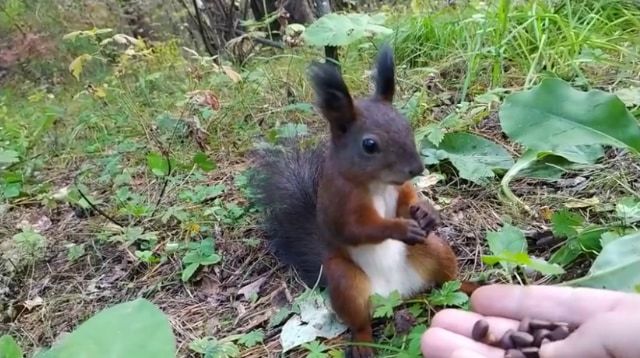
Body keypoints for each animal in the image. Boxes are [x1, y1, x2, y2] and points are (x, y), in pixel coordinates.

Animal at [248, 45, 478, 358]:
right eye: (369, 145)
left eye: (407, 125)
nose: (417, 168)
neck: (378, 183)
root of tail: (396, 294)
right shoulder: (339, 202)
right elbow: (357, 229)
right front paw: (399, 228)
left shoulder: (400, 190)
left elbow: (407, 201)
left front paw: (427, 211)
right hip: (346, 282)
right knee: (360, 321)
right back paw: (363, 343)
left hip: (434, 249)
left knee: (445, 280)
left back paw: (469, 285)